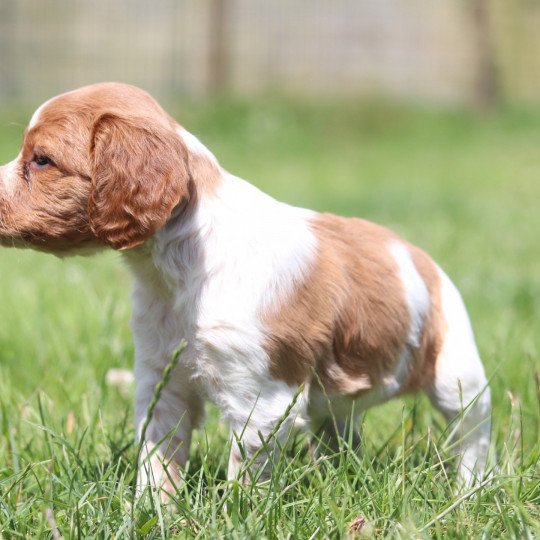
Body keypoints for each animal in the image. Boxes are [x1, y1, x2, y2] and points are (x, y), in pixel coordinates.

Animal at [0, 82, 492, 492]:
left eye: (41, 159)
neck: (177, 269)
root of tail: (415, 252)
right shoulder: (162, 380)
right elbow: (157, 459)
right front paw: (154, 511)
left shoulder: (259, 401)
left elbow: (246, 478)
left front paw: (236, 513)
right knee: (339, 431)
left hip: (457, 372)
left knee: (473, 431)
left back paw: (470, 489)